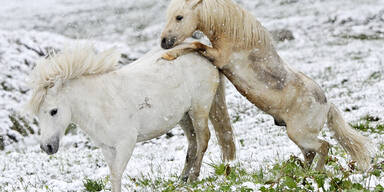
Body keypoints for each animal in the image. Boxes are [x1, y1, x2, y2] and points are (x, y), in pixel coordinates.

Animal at [26, 45, 234, 190]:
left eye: (53, 111)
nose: (47, 147)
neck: (100, 104)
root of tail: (204, 55)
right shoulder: (107, 148)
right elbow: (113, 174)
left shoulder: (126, 144)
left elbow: (117, 174)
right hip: (184, 116)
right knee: (192, 144)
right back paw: (181, 180)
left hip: (198, 109)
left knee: (203, 139)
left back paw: (193, 177)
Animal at [160, 0, 374, 170]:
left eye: (179, 17)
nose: (164, 42)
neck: (237, 37)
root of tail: (327, 104)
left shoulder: (219, 57)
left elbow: (196, 45)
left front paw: (169, 56)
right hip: (299, 136)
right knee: (311, 152)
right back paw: (304, 173)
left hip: (299, 134)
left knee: (324, 147)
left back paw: (316, 174)